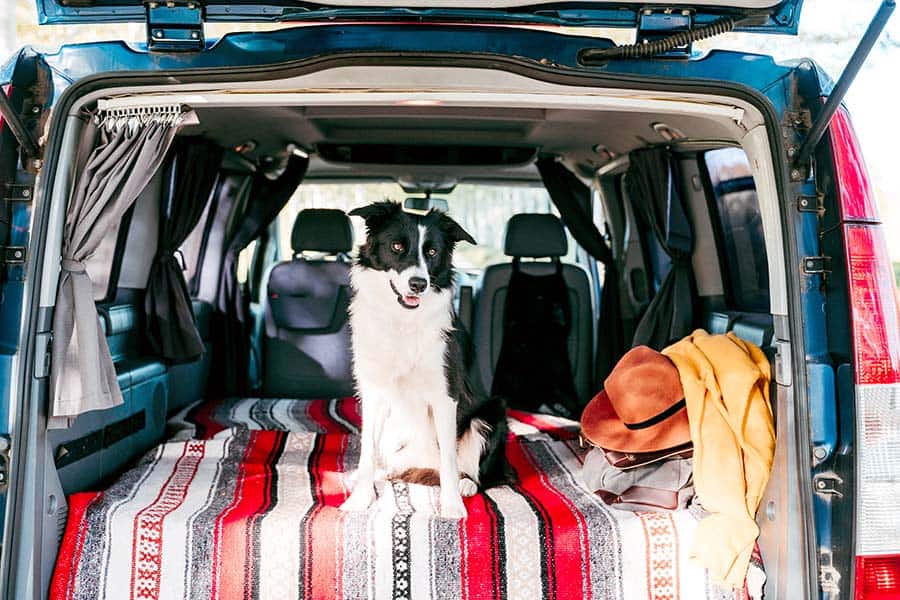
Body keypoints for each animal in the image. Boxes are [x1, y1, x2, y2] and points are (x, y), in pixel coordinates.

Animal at [340, 203, 506, 520]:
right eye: (396, 246)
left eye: (431, 252)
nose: (418, 284)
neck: (403, 321)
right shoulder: (374, 393)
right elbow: (367, 452)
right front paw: (360, 499)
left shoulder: (445, 396)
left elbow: (450, 461)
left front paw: (452, 506)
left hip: (490, 415)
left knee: (481, 473)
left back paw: (466, 485)